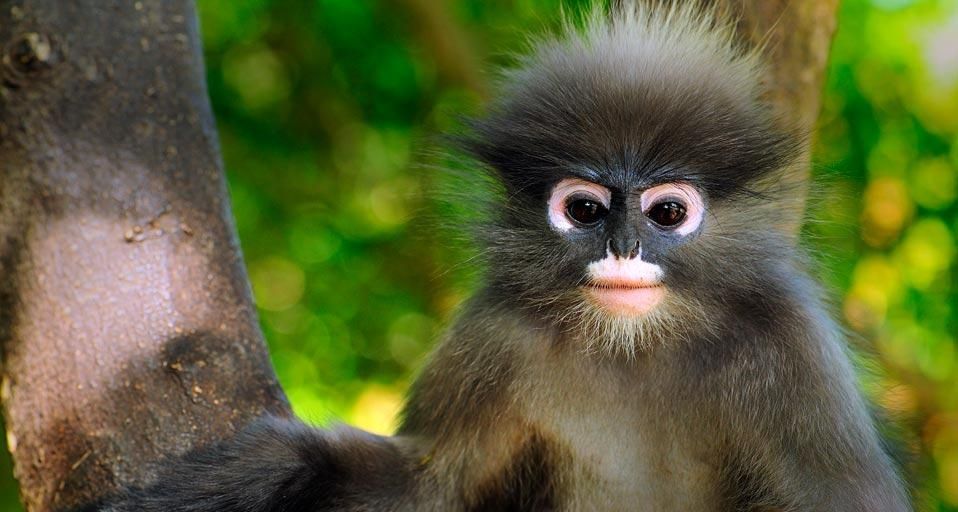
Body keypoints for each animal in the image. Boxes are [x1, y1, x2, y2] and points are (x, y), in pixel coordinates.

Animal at [100, 2, 911, 511]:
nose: (622, 248)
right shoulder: (492, 336)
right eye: (584, 210)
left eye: (668, 213)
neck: (634, 347)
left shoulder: (793, 349)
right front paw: (273, 467)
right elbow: (427, 487)